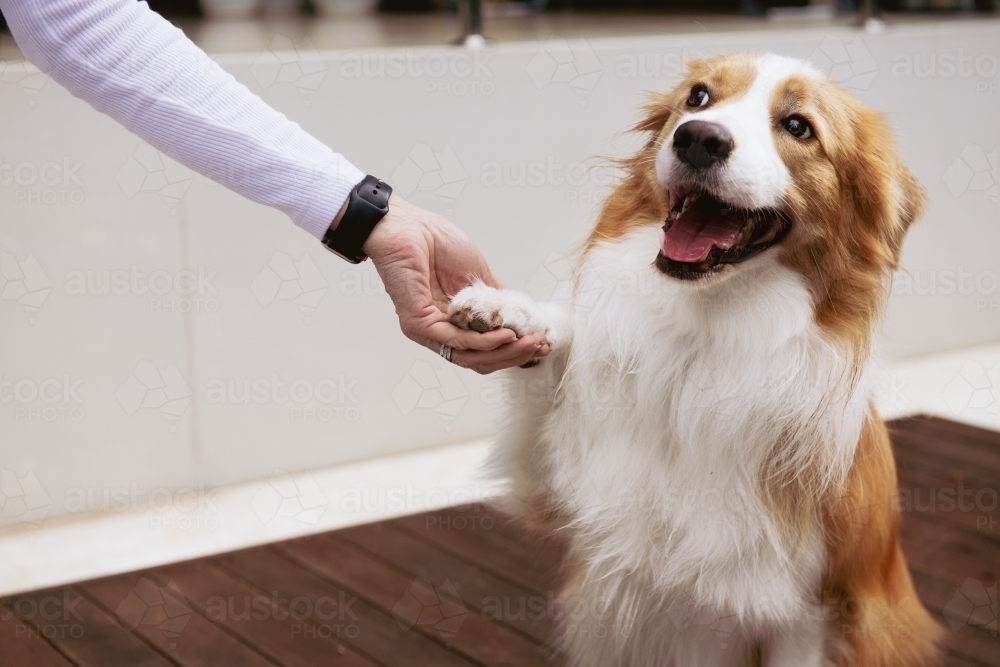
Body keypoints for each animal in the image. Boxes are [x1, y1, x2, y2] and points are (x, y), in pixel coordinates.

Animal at [450, 53, 940, 667]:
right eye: (699, 98)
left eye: (799, 126)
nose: (699, 139)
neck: (702, 335)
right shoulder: (552, 489)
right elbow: (557, 350)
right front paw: (509, 310)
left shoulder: (810, 610)